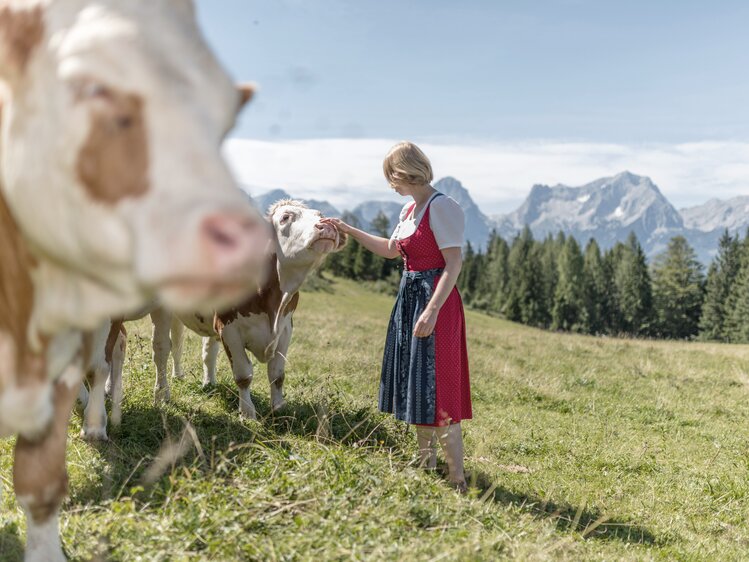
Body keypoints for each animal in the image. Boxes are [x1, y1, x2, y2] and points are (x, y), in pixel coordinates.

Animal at [82, 198, 348, 438]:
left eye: (320, 214)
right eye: (285, 217)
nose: (327, 226)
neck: (274, 299)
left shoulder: (285, 329)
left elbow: (277, 375)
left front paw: (279, 408)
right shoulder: (229, 327)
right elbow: (243, 375)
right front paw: (248, 413)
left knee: (195, 348)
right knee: (161, 347)